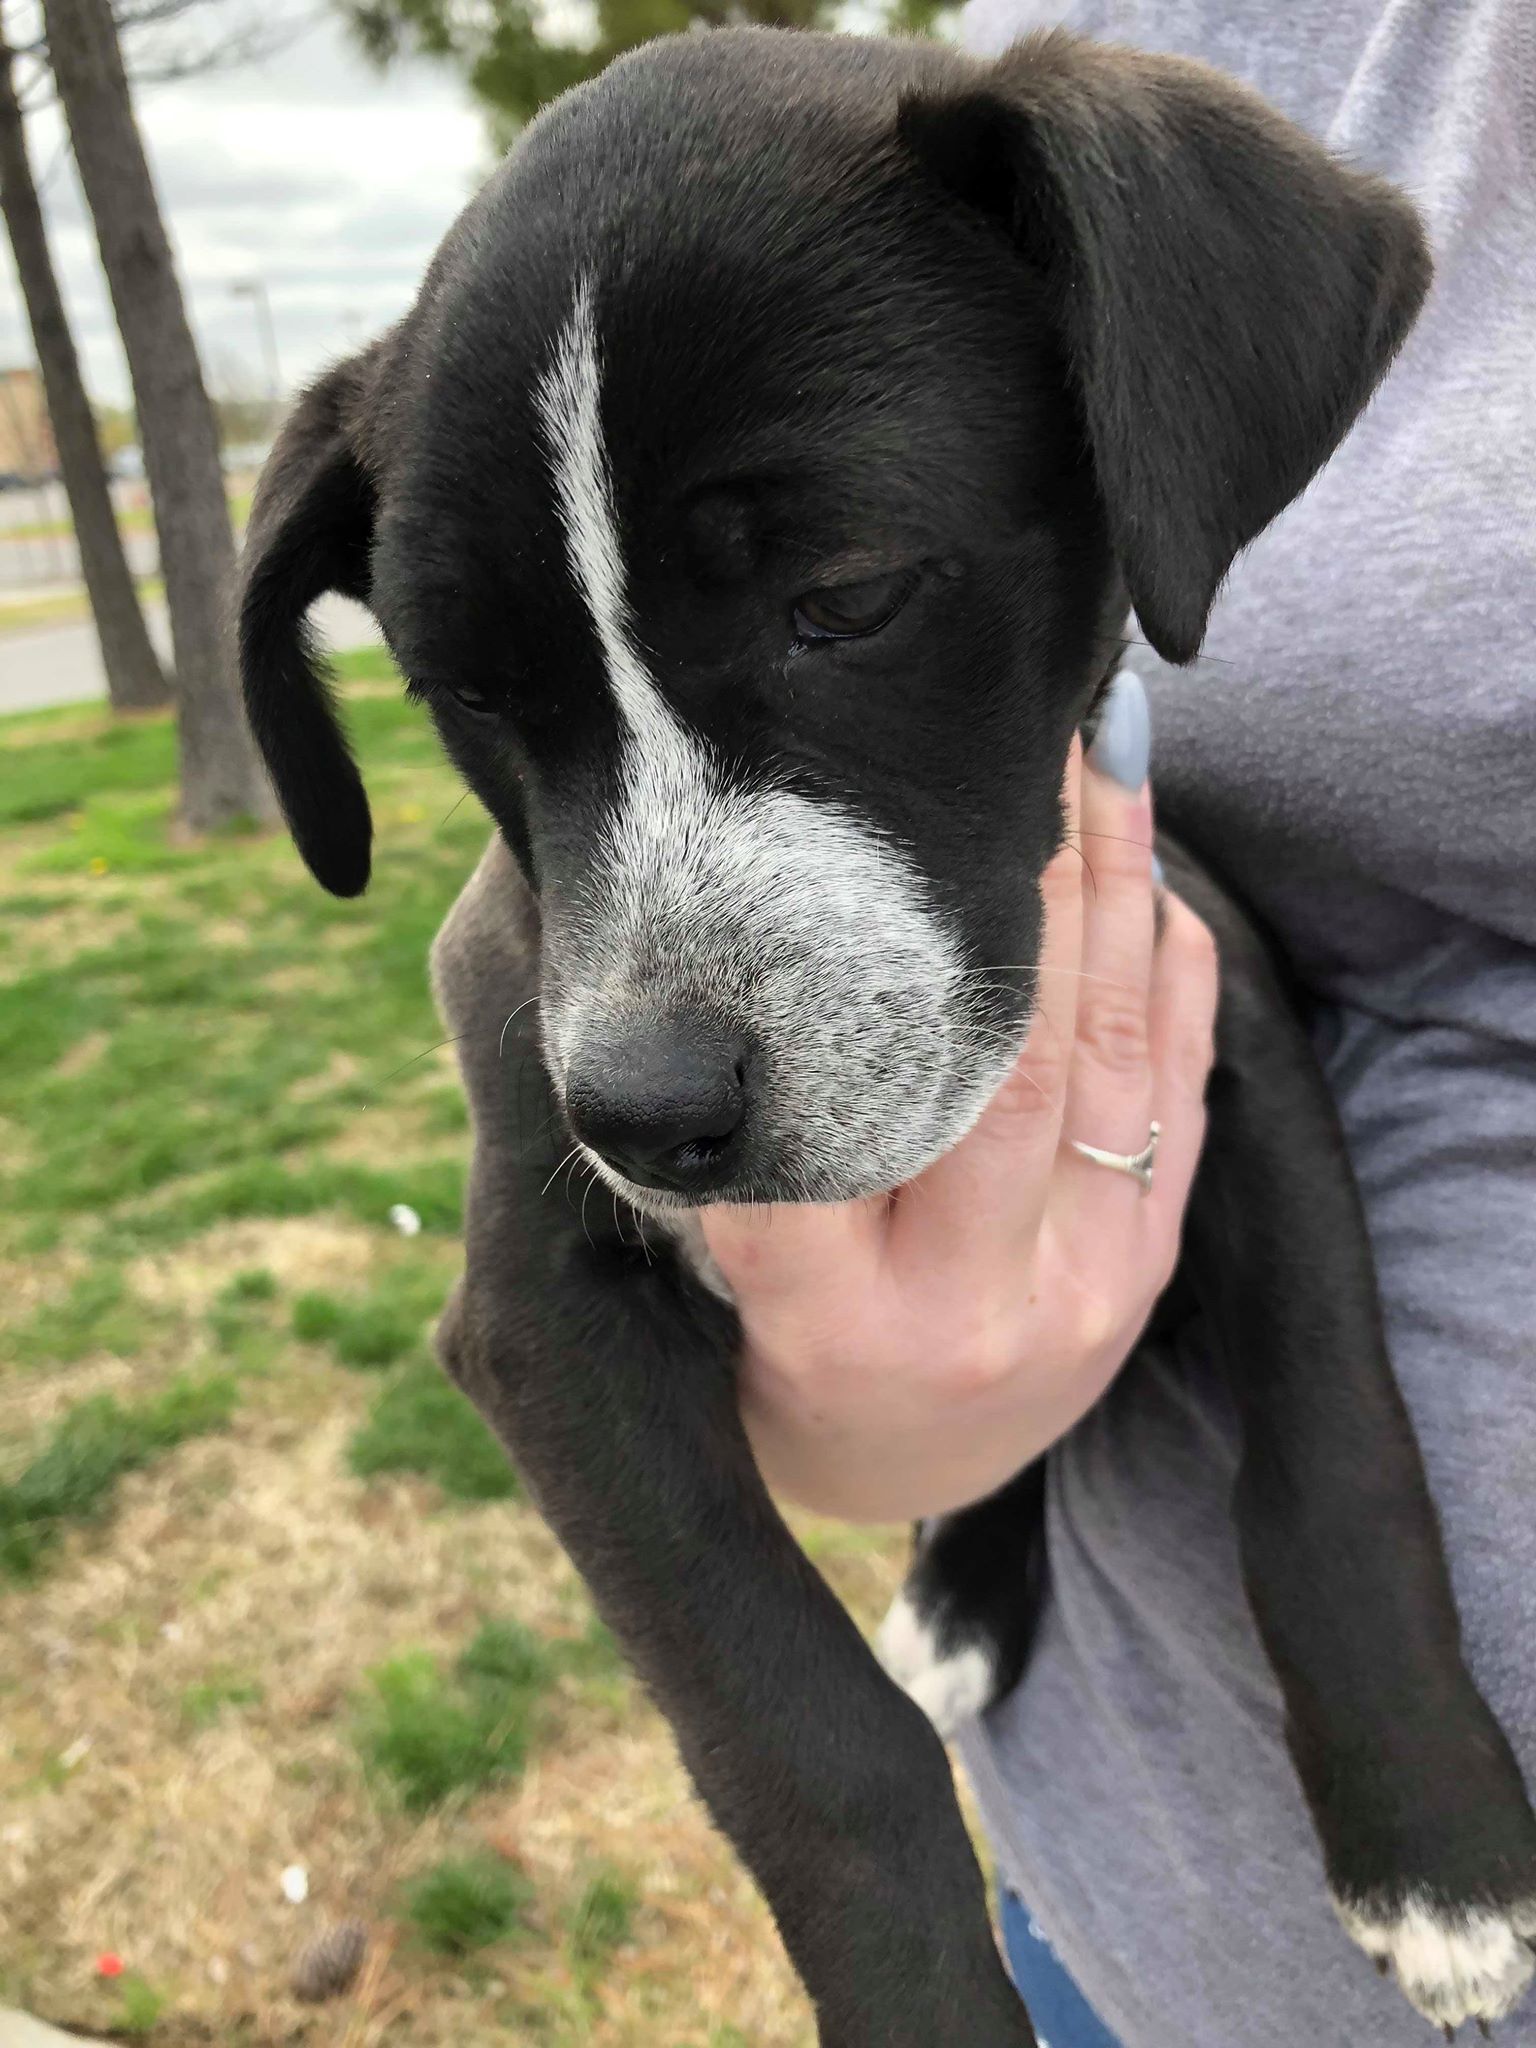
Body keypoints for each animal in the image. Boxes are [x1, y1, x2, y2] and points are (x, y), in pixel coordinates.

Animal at [234, 24, 1536, 2039]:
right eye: (464, 697)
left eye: (843, 595)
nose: (643, 1116)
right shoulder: (544, 1319)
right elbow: (805, 1731)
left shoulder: (1247, 1070)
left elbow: (1340, 1470)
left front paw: (1441, 1849)